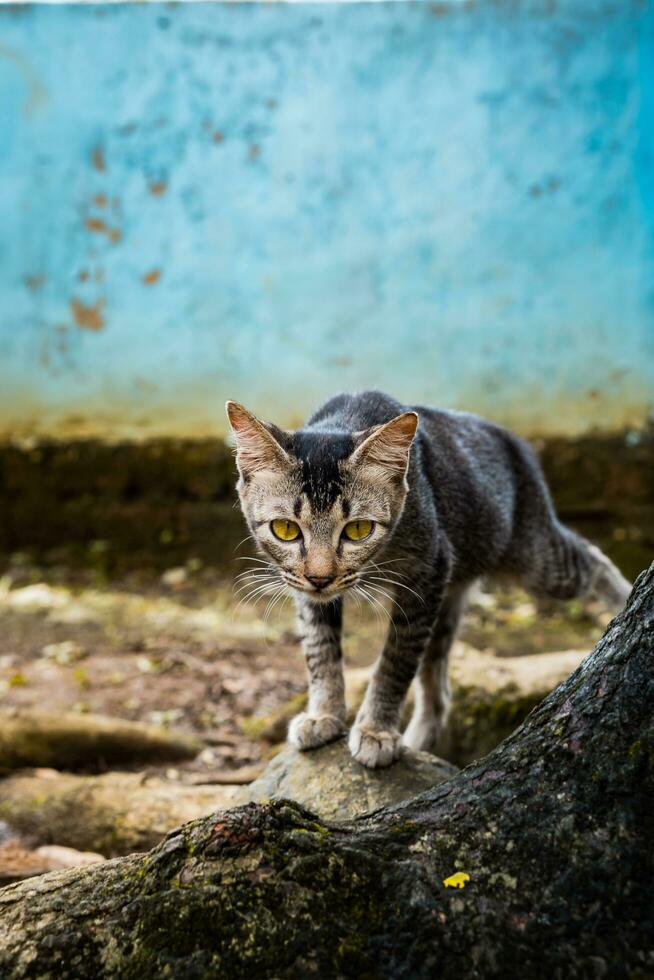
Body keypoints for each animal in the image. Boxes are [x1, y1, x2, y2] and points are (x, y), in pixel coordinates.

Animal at [228, 394, 632, 768]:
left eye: (359, 530)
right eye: (285, 529)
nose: (320, 577)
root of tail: (513, 439)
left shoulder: (427, 573)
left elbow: (394, 662)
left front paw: (376, 730)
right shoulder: (305, 587)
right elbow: (320, 648)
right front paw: (324, 714)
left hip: (534, 558)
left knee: (592, 558)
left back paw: (624, 604)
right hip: (450, 596)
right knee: (439, 693)